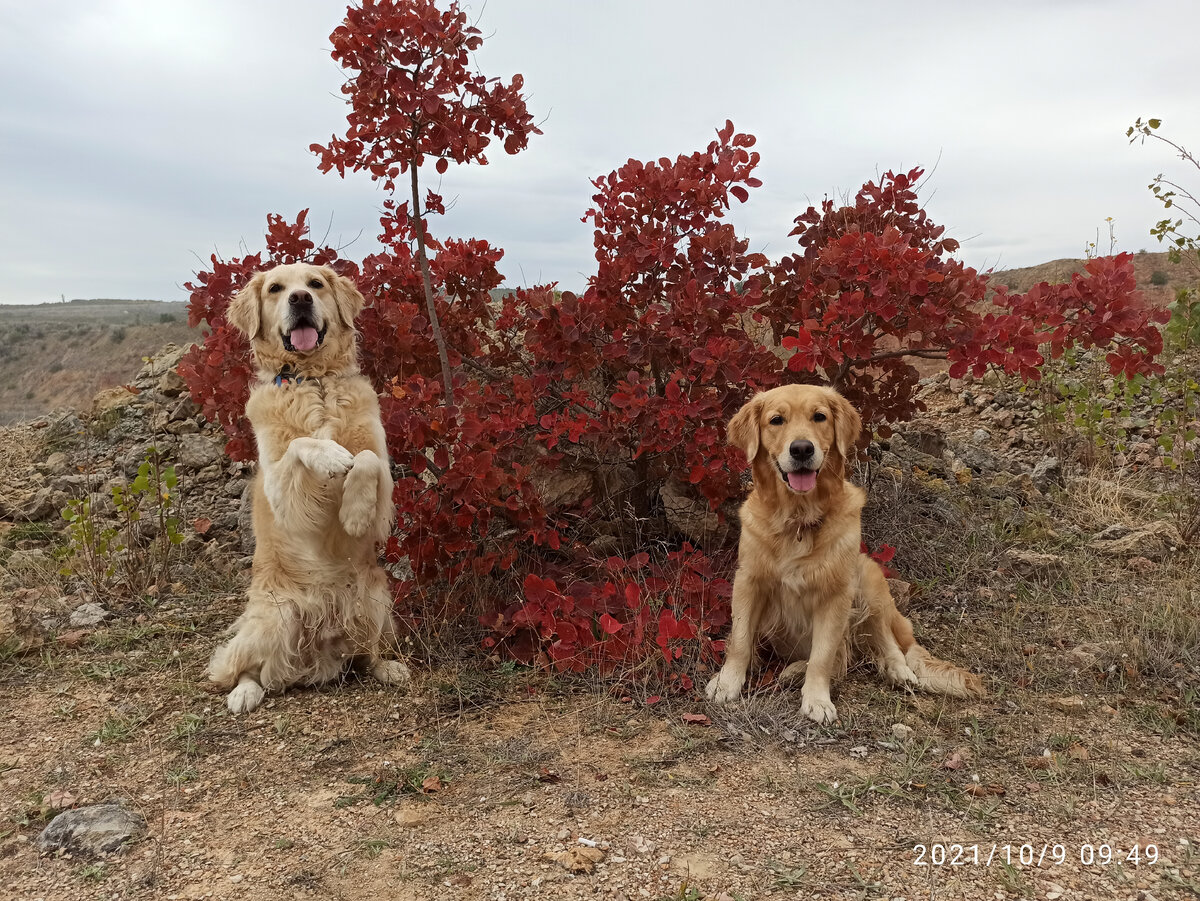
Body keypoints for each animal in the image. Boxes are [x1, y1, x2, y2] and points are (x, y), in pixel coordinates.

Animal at [208, 263, 410, 715]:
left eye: (315, 283)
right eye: (275, 288)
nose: (300, 298)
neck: (314, 380)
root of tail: (315, 657)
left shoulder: (385, 475)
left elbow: (366, 459)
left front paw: (354, 513)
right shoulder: (281, 492)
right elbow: (303, 445)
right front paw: (331, 455)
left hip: (377, 601)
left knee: (366, 652)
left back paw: (387, 667)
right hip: (274, 618)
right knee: (239, 666)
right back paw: (244, 692)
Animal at [705, 383, 979, 724]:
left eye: (819, 416)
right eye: (776, 420)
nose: (802, 449)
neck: (798, 519)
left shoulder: (835, 595)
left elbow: (823, 656)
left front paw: (817, 700)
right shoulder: (749, 582)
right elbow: (741, 640)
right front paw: (727, 683)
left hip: (869, 581)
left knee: (883, 642)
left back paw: (898, 671)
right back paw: (794, 671)